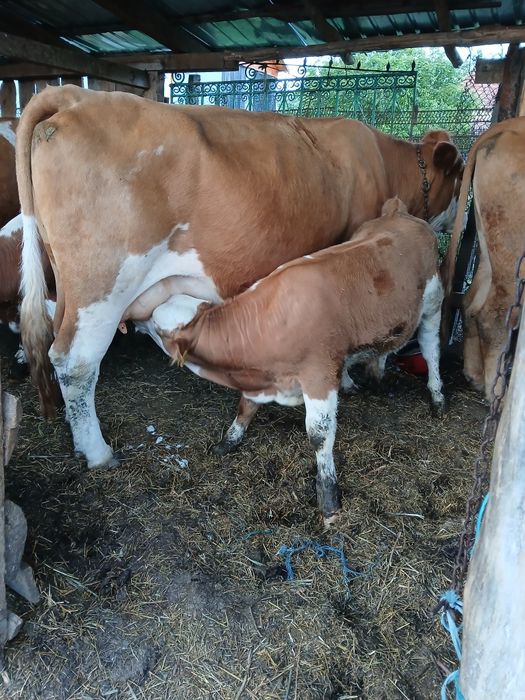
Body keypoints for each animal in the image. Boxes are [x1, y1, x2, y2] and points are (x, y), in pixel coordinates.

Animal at [17, 85, 462, 469]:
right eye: (458, 178)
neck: (384, 162)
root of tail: (76, 95)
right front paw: (353, 378)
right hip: (102, 285)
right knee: (75, 362)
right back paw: (97, 452)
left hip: (68, 290)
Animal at [151, 198, 444, 523]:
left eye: (155, 325)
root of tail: (396, 212)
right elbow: (245, 406)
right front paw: (229, 441)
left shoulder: (318, 375)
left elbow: (319, 434)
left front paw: (328, 499)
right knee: (385, 348)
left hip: (434, 301)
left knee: (431, 348)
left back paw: (437, 396)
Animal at [441, 117, 525, 399]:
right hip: (510, 246)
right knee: (494, 312)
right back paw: (495, 390)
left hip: (489, 244)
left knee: (471, 302)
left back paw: (475, 376)